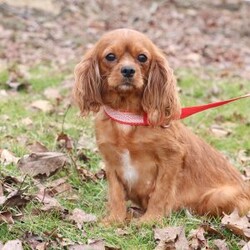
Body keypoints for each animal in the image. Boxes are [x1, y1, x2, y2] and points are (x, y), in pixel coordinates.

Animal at [73, 28, 250, 224]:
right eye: (110, 56)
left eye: (142, 57)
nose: (128, 70)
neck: (127, 116)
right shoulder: (112, 162)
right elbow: (116, 194)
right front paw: (115, 219)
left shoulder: (171, 158)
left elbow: (160, 193)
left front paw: (150, 220)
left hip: (219, 196)